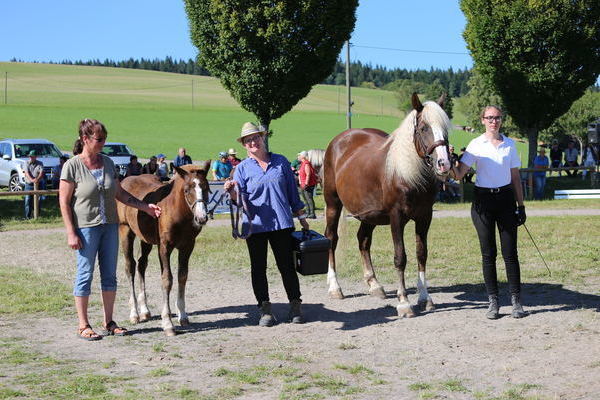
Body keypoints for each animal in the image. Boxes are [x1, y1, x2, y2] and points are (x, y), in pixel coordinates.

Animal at [117, 162, 211, 334]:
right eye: (186, 190)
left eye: (206, 188)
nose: (201, 218)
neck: (178, 213)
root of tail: (126, 179)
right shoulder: (165, 247)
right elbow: (167, 279)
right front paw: (167, 322)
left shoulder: (187, 246)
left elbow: (182, 276)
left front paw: (182, 315)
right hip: (125, 230)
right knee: (130, 267)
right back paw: (134, 313)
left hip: (146, 239)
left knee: (141, 264)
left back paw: (145, 311)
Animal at [324, 94, 450, 318]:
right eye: (424, 128)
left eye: (445, 127)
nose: (444, 163)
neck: (406, 172)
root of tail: (339, 141)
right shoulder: (396, 217)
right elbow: (400, 257)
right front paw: (404, 303)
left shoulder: (425, 217)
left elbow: (421, 254)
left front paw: (425, 298)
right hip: (333, 204)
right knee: (331, 238)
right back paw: (335, 287)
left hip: (369, 214)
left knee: (363, 240)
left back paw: (374, 285)